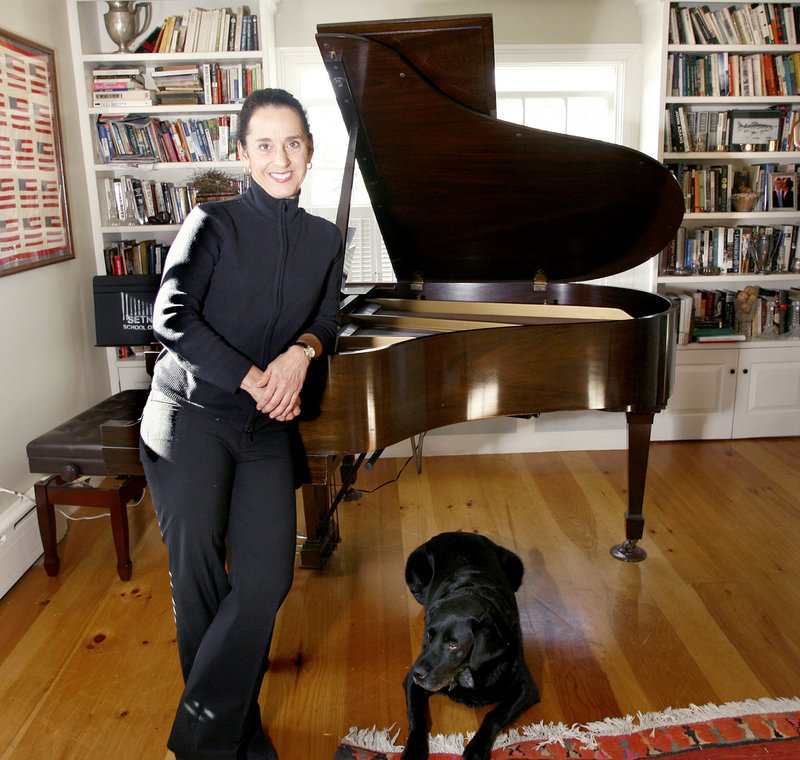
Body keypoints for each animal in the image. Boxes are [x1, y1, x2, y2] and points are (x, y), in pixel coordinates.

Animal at [404, 536, 540, 760]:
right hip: (413, 567)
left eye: (453, 644)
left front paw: (476, 748)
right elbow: (417, 718)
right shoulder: (411, 683)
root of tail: (458, 532)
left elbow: (494, 715)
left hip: (516, 565)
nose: (417, 673)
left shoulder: (526, 687)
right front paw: (414, 750)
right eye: (429, 634)